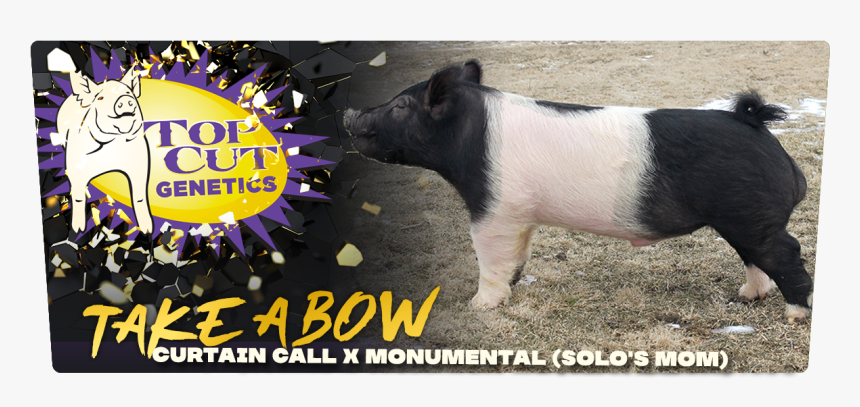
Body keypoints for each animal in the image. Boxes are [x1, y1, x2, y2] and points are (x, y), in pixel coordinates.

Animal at [57, 69, 153, 235]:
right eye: (101, 98)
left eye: (129, 93)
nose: (125, 99)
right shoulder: (76, 169)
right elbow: (78, 197)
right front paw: (78, 230)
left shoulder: (141, 164)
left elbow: (140, 197)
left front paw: (148, 229)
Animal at [344, 60, 812, 322]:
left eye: (400, 106)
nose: (349, 112)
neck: (467, 142)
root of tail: (755, 125)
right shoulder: (520, 215)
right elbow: (517, 254)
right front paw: (513, 284)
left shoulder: (493, 209)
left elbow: (487, 256)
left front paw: (478, 307)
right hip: (741, 218)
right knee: (756, 258)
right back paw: (746, 298)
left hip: (751, 214)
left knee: (786, 253)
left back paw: (793, 316)